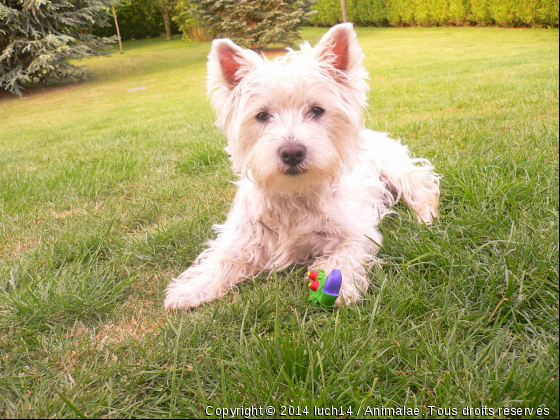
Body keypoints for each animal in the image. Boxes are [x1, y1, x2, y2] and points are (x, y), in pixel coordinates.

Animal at [164, 23, 440, 312]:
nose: (292, 152)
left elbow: (346, 253)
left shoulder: (355, 230)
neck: (293, 196)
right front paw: (192, 289)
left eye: (317, 110)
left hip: (393, 167)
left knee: (421, 184)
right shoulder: (242, 235)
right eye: (262, 115)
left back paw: (426, 216)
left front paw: (342, 284)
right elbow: (222, 258)